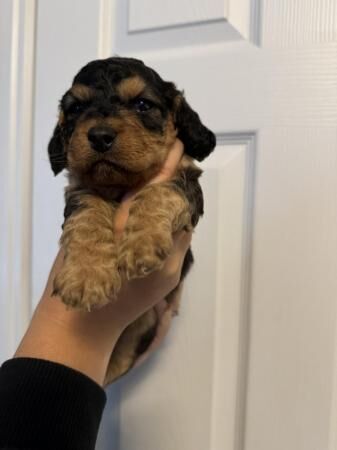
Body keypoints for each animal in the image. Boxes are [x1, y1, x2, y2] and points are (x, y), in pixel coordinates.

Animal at [47, 56, 215, 384]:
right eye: (76, 108)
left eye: (142, 104)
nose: (99, 136)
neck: (120, 185)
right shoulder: (79, 189)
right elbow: (88, 212)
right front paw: (86, 277)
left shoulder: (188, 183)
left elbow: (160, 190)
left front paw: (141, 247)